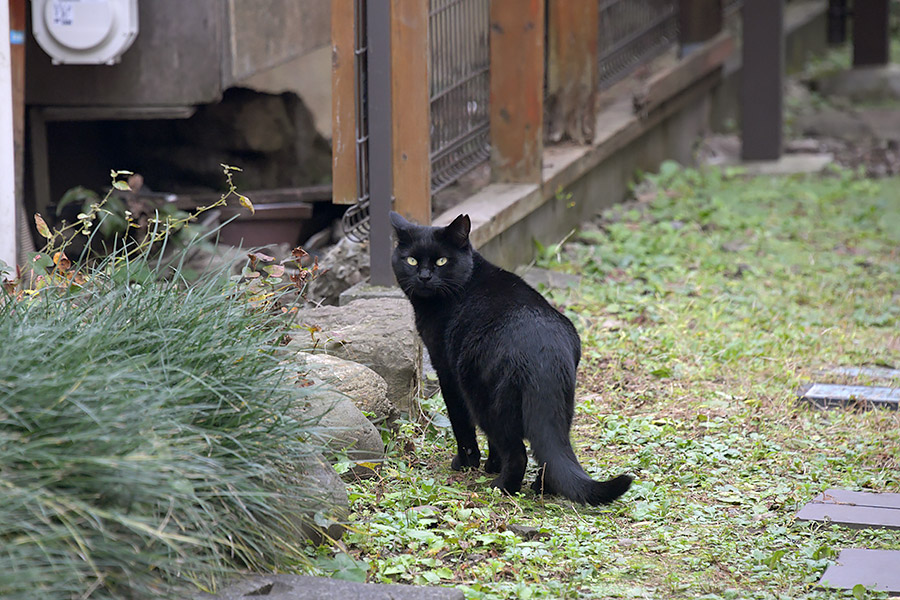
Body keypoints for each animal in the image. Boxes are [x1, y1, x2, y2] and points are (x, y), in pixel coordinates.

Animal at [388, 212, 632, 506]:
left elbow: (462, 425)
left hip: (487, 400)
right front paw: (492, 465)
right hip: (561, 406)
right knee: (549, 454)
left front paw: (468, 463)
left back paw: (502, 487)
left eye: (441, 261)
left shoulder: (446, 373)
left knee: (517, 453)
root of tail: (543, 353)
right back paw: (542, 488)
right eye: (411, 260)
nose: (424, 276)